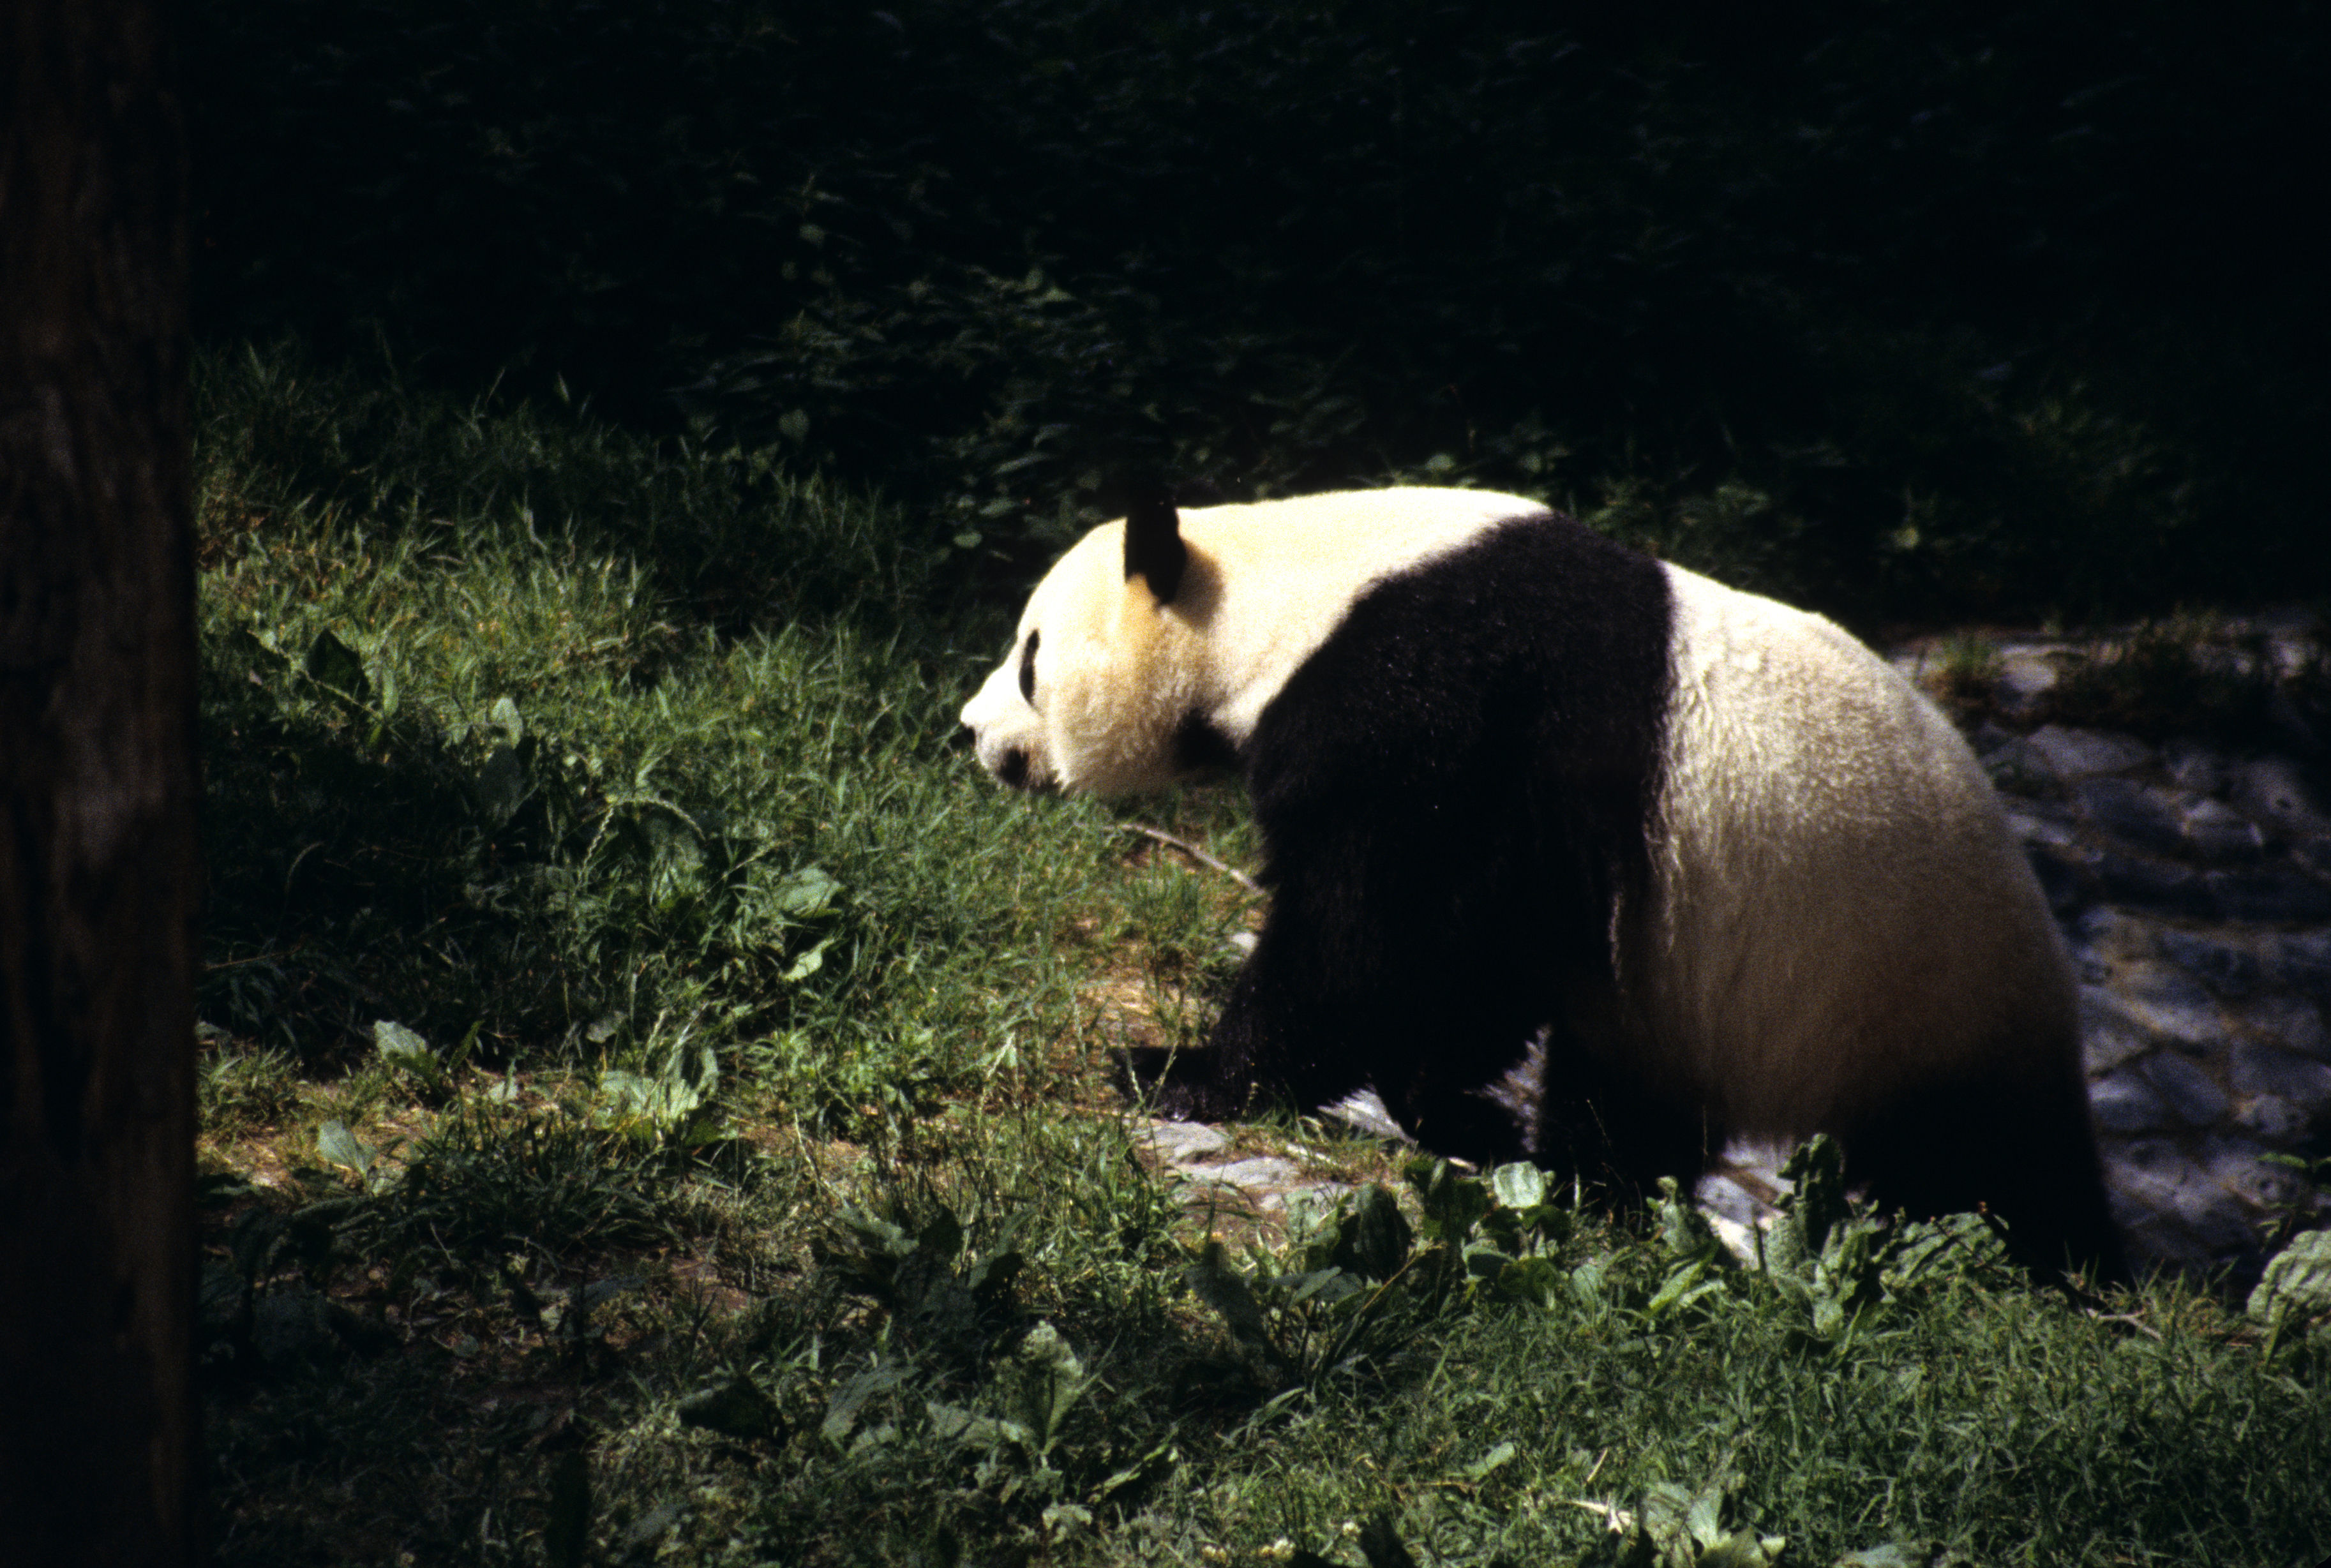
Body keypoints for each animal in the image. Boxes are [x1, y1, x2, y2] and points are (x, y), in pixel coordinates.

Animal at [956, 487, 2125, 1267]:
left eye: (1028, 654)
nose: (968, 730)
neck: (1281, 592)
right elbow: (1478, 952)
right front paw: (1464, 1116)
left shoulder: (1448, 700)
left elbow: (1393, 922)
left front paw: (1181, 1069)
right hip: (1693, 996)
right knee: (1629, 1088)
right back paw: (1588, 1179)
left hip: (1912, 988)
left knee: (1986, 1161)